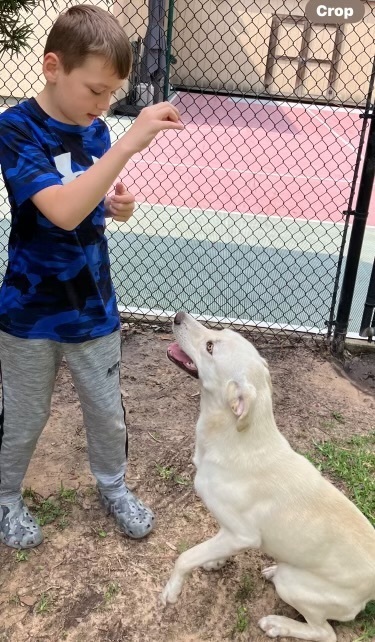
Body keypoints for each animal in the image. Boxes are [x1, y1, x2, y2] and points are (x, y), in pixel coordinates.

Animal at [163, 308, 375, 636]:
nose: (177, 315)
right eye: (218, 332)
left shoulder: (243, 535)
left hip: (294, 585)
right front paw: (215, 561)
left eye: (210, 346)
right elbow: (209, 548)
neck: (236, 434)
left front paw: (172, 590)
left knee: (324, 633)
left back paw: (278, 624)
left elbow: (185, 557)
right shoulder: (230, 533)